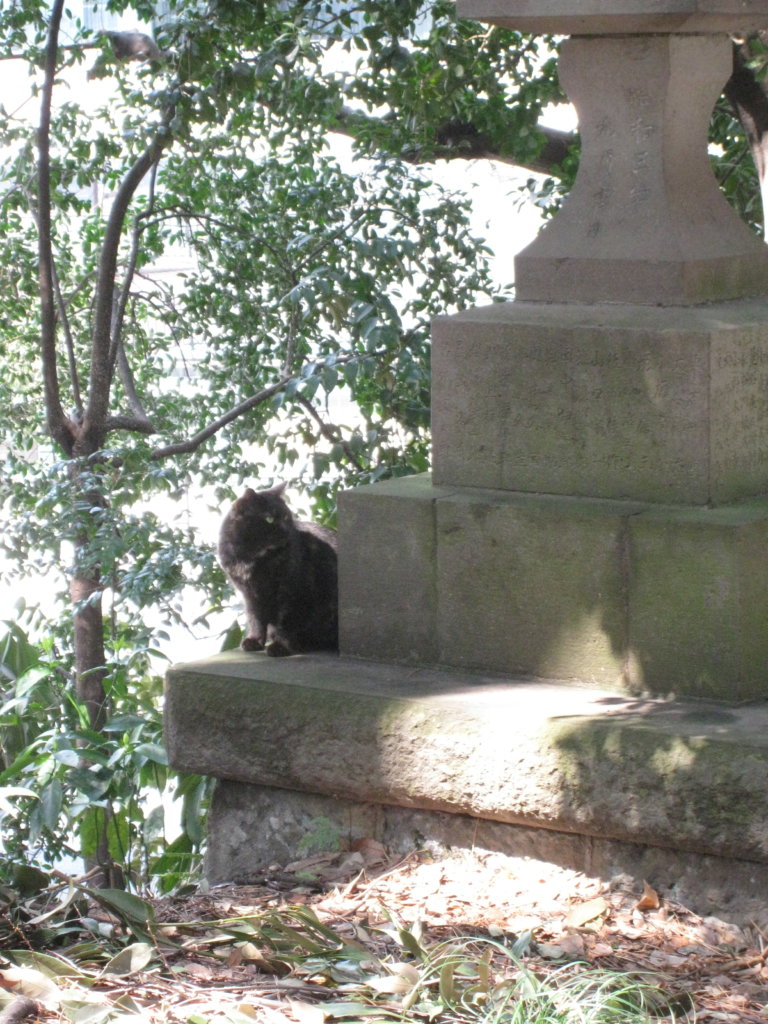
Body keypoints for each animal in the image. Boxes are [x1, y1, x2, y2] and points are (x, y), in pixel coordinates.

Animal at [217, 479, 335, 655]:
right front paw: (254, 641)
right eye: (269, 518)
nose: (286, 530)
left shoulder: (292, 591)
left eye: (286, 516)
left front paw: (280, 647)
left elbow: (285, 622)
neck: (252, 558)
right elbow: (255, 619)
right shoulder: (250, 594)